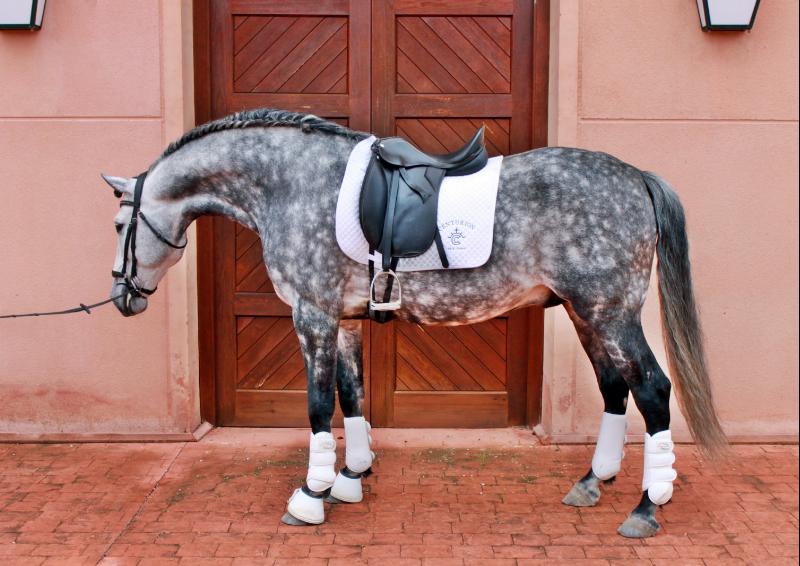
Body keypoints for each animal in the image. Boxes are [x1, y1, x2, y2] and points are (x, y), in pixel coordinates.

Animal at [102, 108, 727, 538]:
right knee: (615, 389)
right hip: (586, 314)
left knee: (653, 391)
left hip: (609, 313)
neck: (290, 182)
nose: (121, 297)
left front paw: (310, 495)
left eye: (118, 225)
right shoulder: (345, 320)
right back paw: (594, 481)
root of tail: (635, 176)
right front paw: (350, 478)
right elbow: (351, 395)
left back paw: (647, 506)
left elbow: (317, 406)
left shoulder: (313, 315)